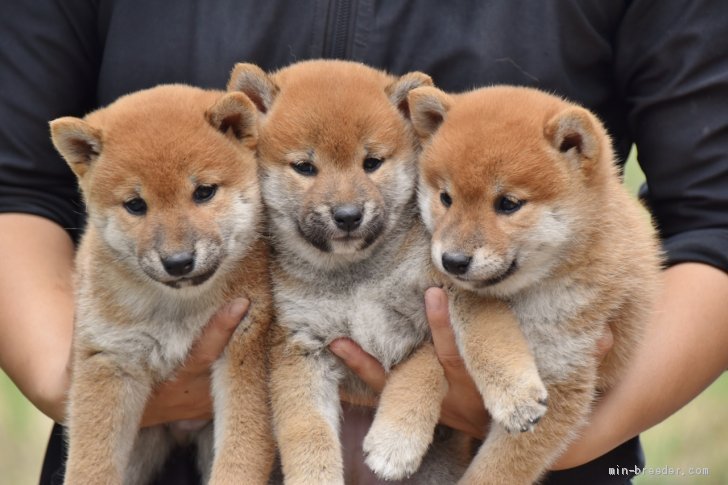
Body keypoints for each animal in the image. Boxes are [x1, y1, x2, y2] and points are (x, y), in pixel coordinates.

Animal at [49, 85, 274, 484]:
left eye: (204, 192)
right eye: (136, 205)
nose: (178, 261)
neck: (178, 309)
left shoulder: (247, 345)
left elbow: (241, 456)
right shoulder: (109, 356)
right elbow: (90, 465)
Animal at [225, 58, 470, 482]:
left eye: (371, 163)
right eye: (305, 167)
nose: (347, 215)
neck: (354, 280)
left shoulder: (432, 318)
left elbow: (421, 374)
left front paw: (395, 442)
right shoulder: (301, 344)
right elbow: (307, 432)